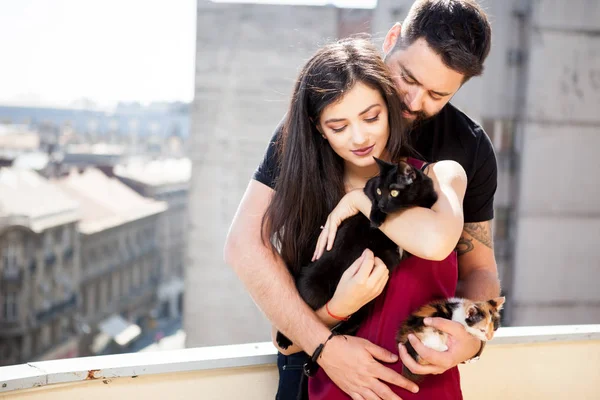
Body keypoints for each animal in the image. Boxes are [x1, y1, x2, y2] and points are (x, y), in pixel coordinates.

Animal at [276, 158, 436, 348]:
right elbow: (369, 198)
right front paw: (375, 217)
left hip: (366, 304)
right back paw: (283, 339)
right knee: (300, 314)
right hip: (313, 290)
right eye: (379, 191)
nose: (382, 204)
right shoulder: (369, 187)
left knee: (351, 320)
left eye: (394, 192)